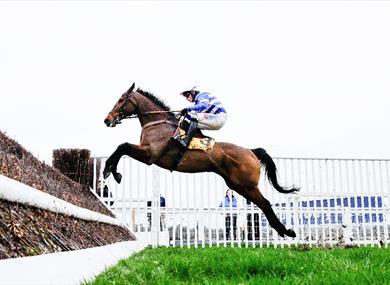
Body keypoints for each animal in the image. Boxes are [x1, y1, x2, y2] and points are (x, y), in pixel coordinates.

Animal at [103, 82, 298, 237]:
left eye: (121, 100)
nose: (107, 120)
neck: (157, 123)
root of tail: (251, 151)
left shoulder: (151, 154)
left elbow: (122, 146)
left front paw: (111, 171)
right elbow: (122, 147)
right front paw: (110, 171)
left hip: (247, 185)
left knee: (265, 203)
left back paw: (286, 231)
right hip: (237, 185)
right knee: (262, 204)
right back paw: (284, 231)